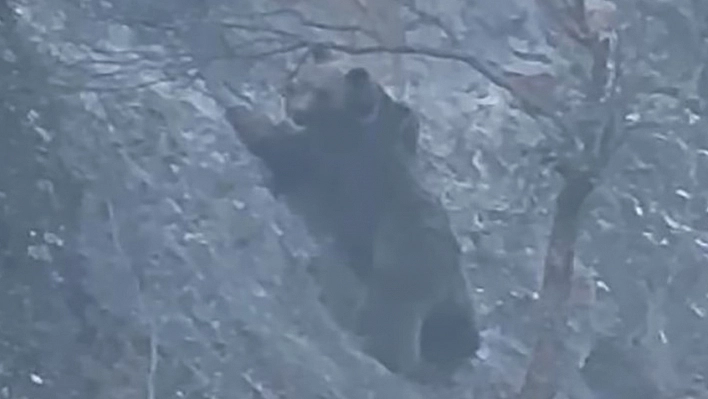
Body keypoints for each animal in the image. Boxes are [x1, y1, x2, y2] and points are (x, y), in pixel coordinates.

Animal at [220, 47, 482, 378]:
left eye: (321, 92)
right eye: (298, 84)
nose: (297, 111)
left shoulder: (339, 156)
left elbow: (280, 144)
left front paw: (237, 111)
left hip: (407, 251)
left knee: (392, 310)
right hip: (456, 302)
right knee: (457, 332)